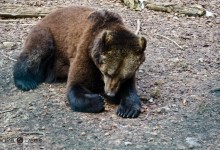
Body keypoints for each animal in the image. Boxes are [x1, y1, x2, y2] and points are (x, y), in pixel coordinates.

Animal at [12, 5, 146, 118]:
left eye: (123, 77)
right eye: (108, 73)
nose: (110, 93)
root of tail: (47, 15)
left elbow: (129, 89)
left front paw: (127, 110)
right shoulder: (85, 51)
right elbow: (76, 84)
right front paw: (98, 100)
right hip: (47, 34)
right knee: (37, 51)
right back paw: (25, 81)